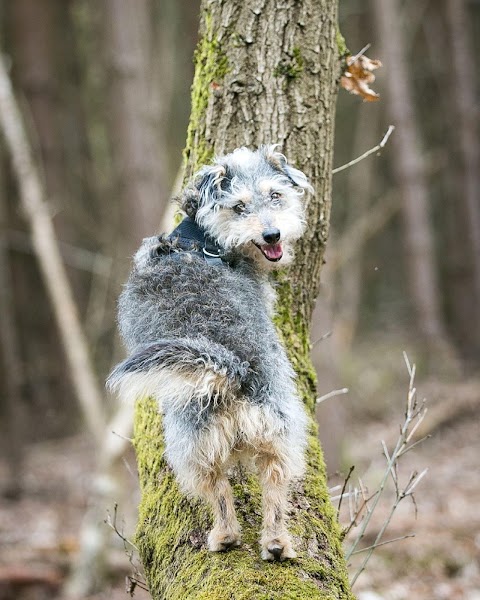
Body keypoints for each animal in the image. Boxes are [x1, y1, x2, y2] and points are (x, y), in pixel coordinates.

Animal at [108, 145, 312, 564]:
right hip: (270, 434)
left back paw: (228, 536)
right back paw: (273, 542)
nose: (272, 234)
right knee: (269, 486)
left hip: (195, 448)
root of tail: (234, 372)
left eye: (275, 195)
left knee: (222, 491)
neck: (201, 240)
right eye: (239, 206)